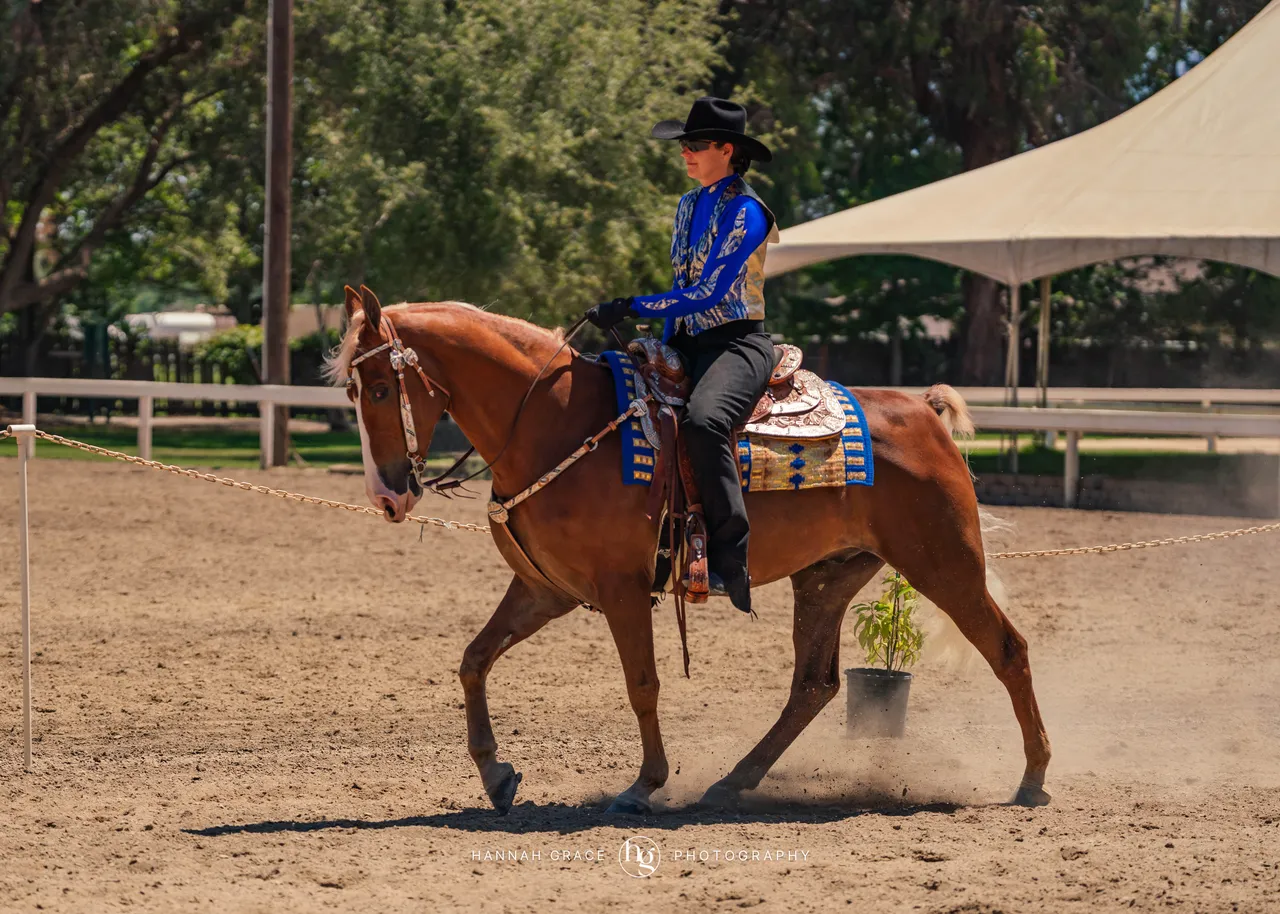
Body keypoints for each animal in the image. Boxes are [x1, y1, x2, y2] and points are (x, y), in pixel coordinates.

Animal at [325, 285, 1051, 815]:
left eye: (384, 389)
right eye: (354, 392)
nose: (387, 496)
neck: (556, 421)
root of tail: (922, 410)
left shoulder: (620, 589)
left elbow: (641, 684)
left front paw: (644, 784)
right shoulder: (546, 589)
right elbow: (473, 661)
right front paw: (497, 775)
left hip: (945, 563)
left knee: (1009, 650)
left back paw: (1034, 777)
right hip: (827, 578)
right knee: (813, 685)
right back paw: (733, 781)